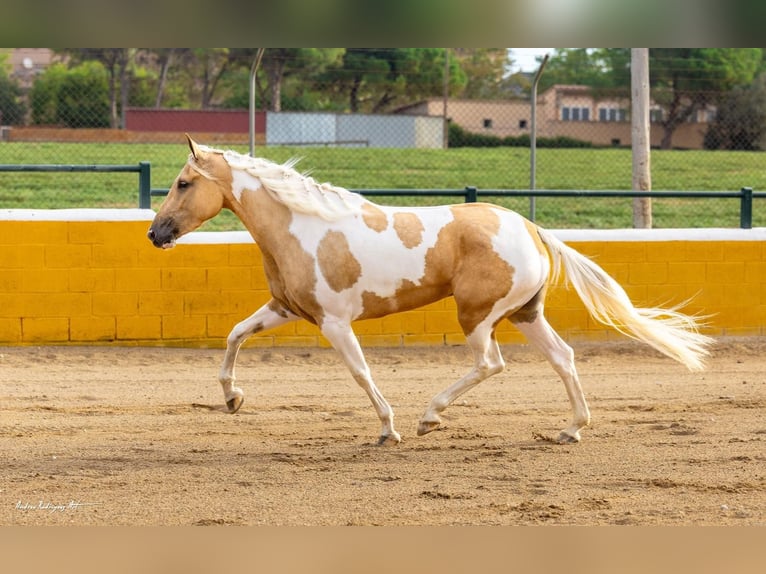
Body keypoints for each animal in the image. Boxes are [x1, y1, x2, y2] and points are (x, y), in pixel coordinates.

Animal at [148, 137, 712, 448]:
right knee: (564, 358)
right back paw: (571, 429)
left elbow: (361, 373)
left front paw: (388, 429)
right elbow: (234, 335)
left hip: (479, 316)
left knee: (491, 364)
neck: (303, 226)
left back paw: (429, 417)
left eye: (182, 183)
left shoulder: (334, 322)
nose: (156, 234)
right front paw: (233, 398)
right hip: (525, 314)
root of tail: (530, 227)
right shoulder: (286, 308)